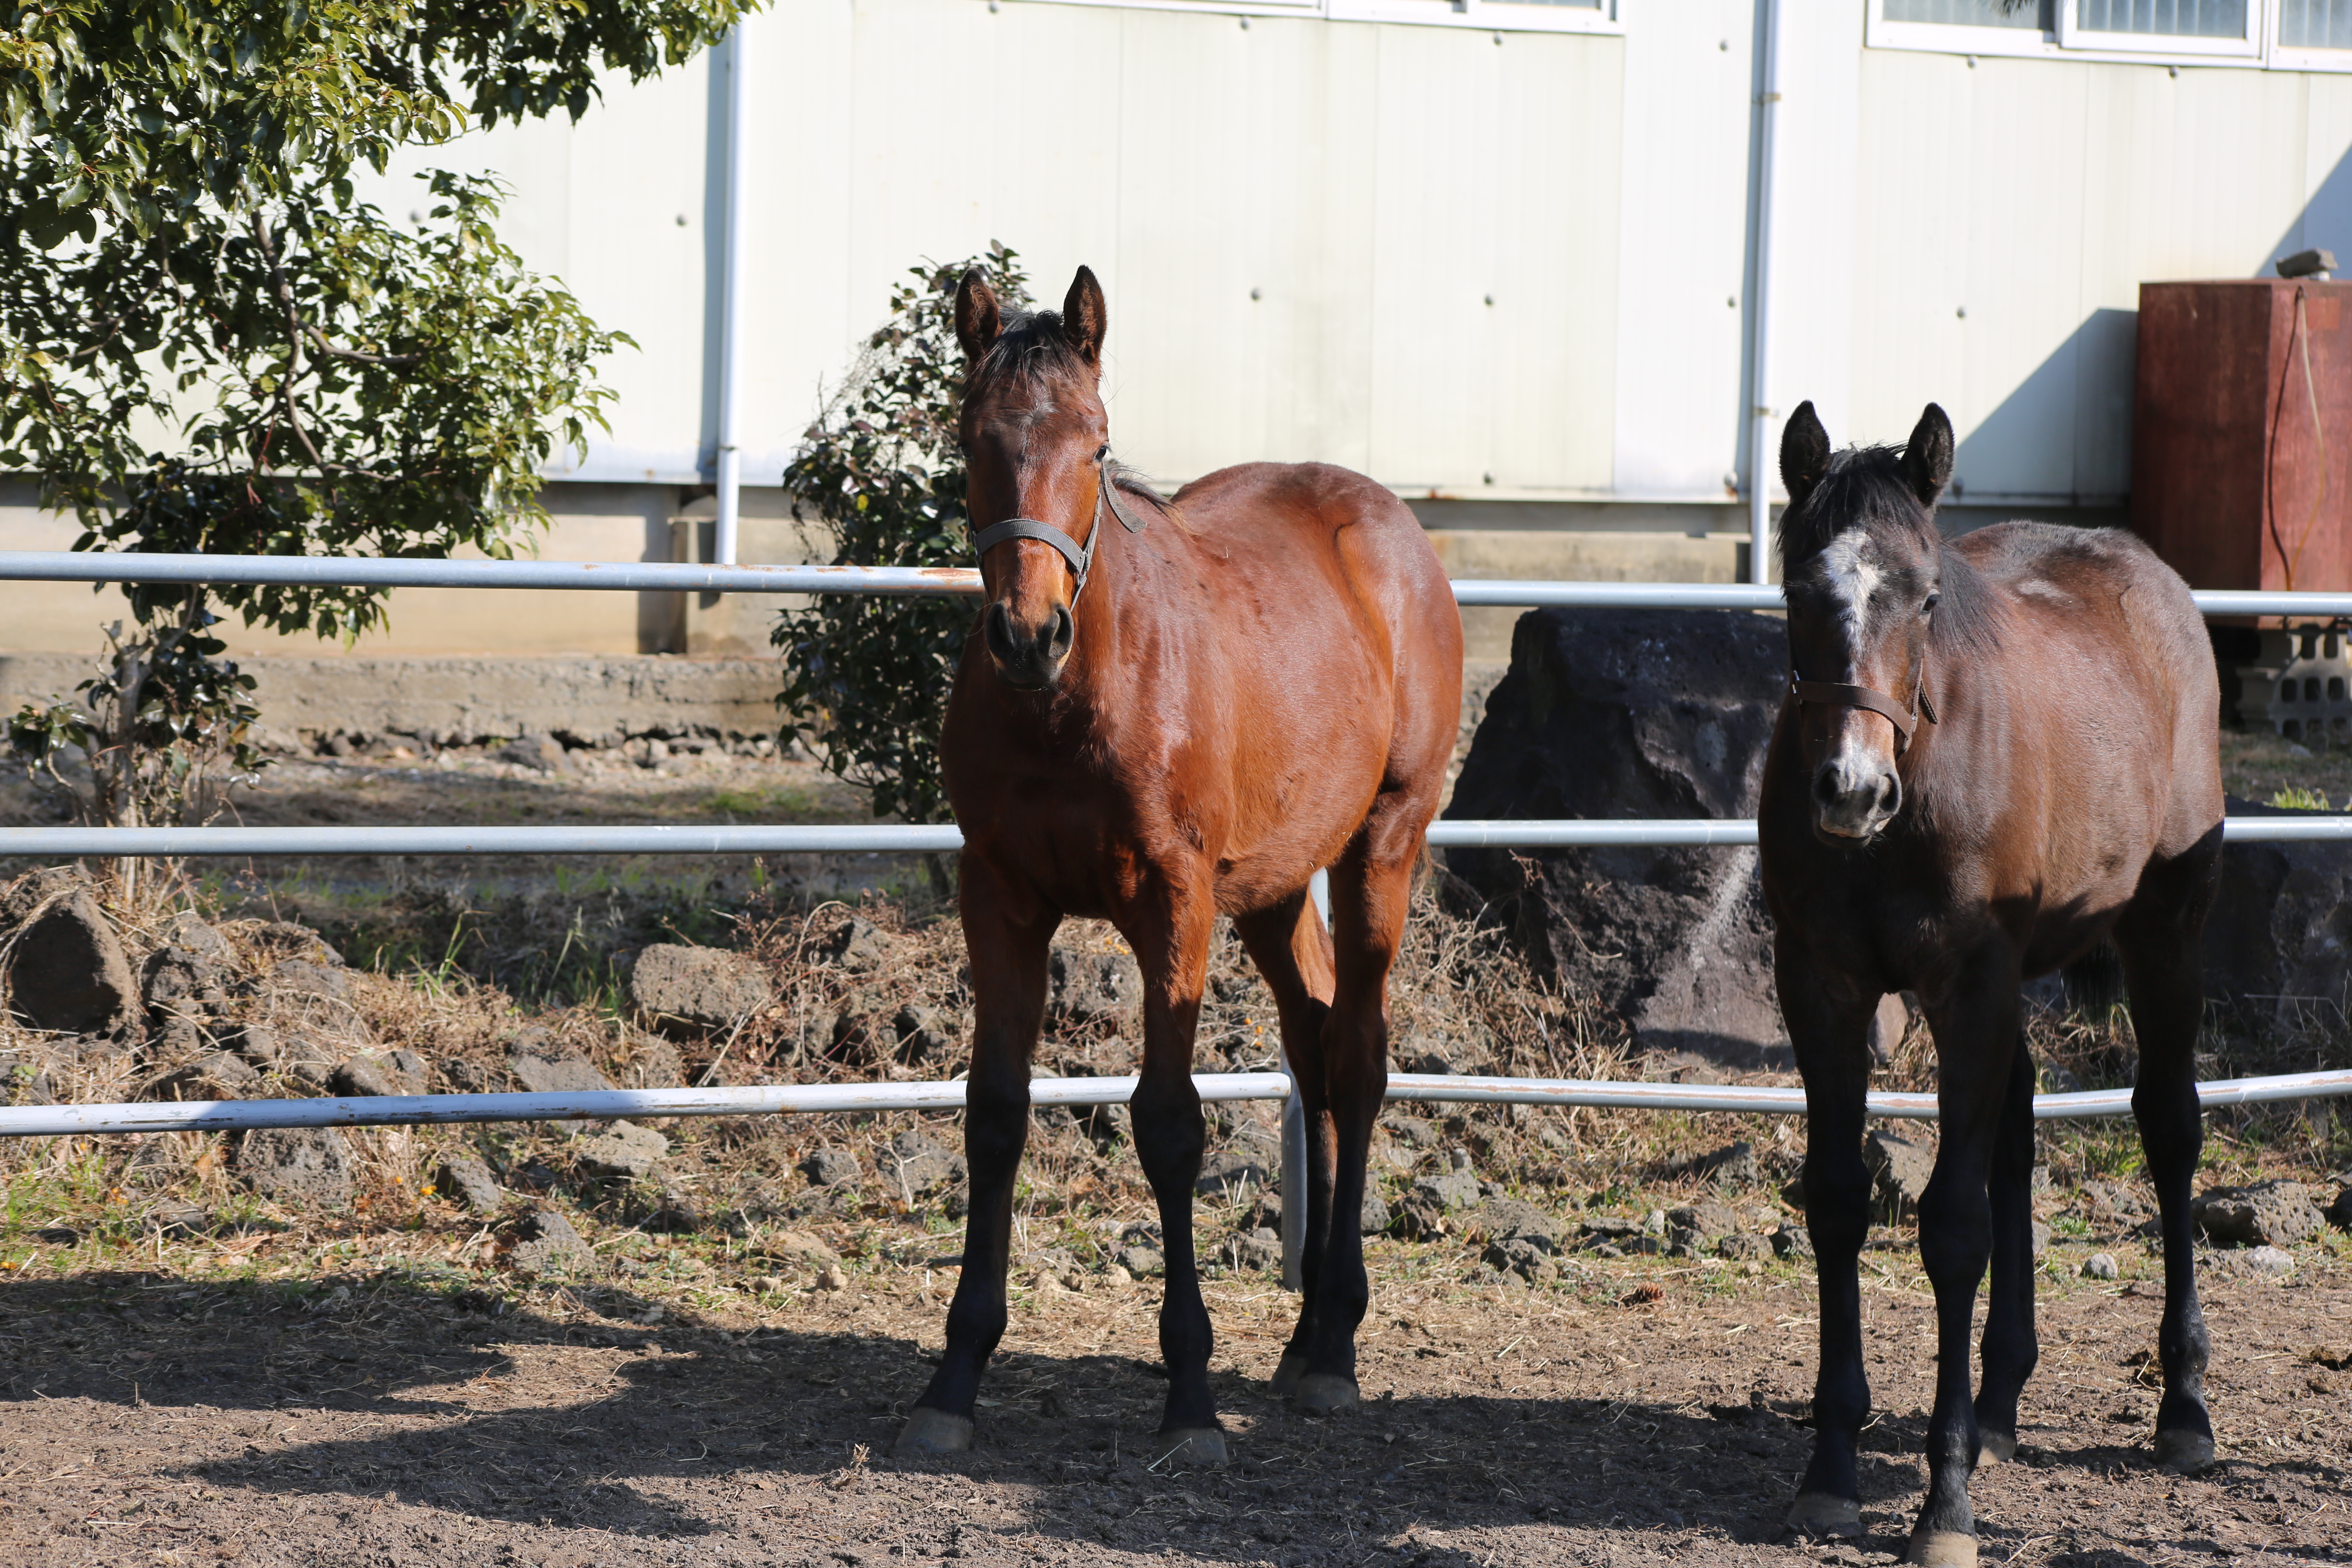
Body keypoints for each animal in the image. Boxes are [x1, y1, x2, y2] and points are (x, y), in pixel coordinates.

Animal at [889, 267, 1458, 1476]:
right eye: (972, 439)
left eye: (1096, 443)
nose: (1026, 634)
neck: (1078, 697)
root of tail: (1385, 525)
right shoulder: (998, 899)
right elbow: (994, 1114)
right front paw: (954, 1378)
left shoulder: (1173, 907)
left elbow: (1168, 1125)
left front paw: (1190, 1393)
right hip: (1278, 888)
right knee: (1316, 1044)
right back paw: (1304, 1337)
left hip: (1382, 845)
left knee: (1359, 1056)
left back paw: (1337, 1347)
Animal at [1768, 404, 2220, 1568]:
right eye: (1796, 588)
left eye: (1926, 596)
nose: (1849, 789)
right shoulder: (1822, 987)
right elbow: (1837, 1203)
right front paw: (1829, 1470)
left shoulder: (1968, 985)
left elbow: (1952, 1228)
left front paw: (1944, 1504)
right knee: (2016, 1123)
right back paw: (2000, 1399)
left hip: (2165, 930)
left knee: (2168, 1127)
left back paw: (2184, 1410)